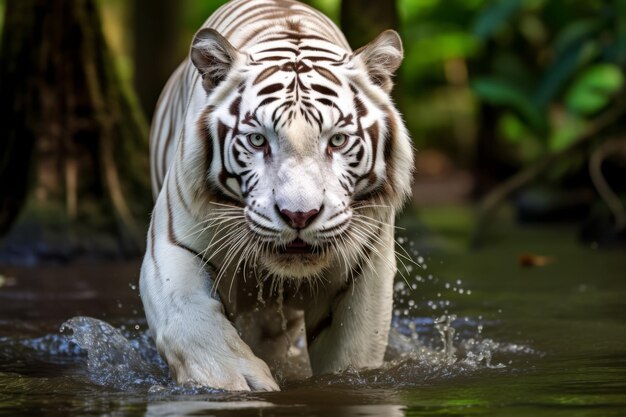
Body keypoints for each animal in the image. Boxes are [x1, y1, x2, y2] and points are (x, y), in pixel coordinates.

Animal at [139, 0, 412, 390]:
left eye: (337, 140)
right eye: (257, 140)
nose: (299, 215)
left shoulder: (364, 268)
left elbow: (352, 355)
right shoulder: (173, 247)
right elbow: (193, 326)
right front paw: (239, 383)